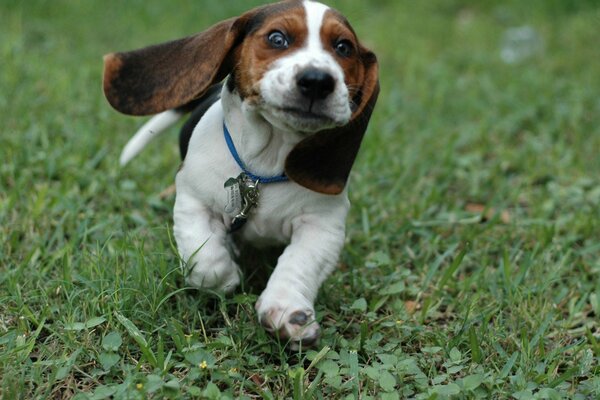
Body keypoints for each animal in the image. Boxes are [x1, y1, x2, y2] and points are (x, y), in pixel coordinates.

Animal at [101, 0, 378, 346]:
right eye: (277, 38)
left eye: (343, 47)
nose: (317, 80)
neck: (264, 166)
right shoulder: (193, 201)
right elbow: (205, 259)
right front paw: (227, 277)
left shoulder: (323, 225)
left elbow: (299, 262)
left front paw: (287, 309)